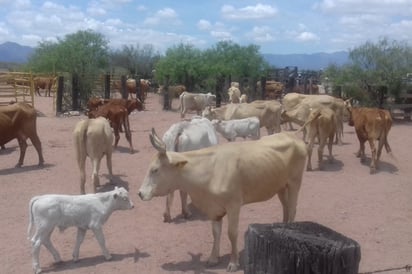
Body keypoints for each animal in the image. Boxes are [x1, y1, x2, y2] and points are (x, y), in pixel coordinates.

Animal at [138, 129, 306, 272]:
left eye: (155, 170)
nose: (140, 193)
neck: (209, 171)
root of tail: (292, 136)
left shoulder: (234, 205)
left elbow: (232, 233)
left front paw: (233, 263)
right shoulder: (214, 209)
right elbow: (215, 233)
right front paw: (213, 258)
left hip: (295, 182)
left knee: (292, 209)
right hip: (281, 186)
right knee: (285, 207)